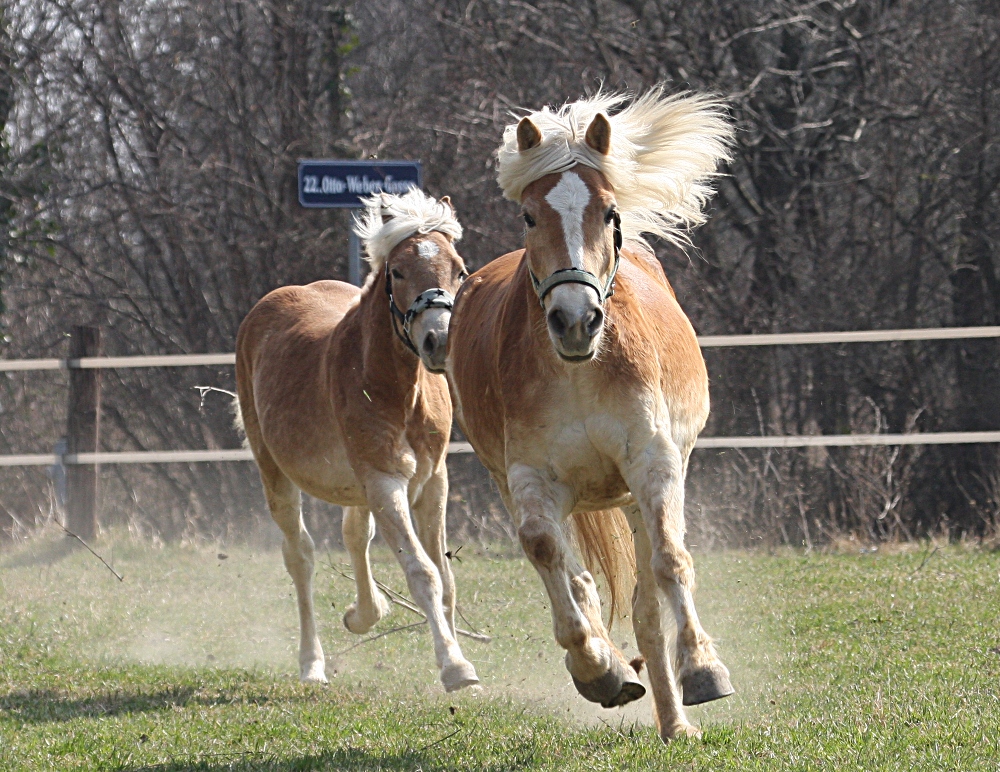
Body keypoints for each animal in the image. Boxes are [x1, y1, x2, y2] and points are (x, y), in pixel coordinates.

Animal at [238, 188, 480, 692]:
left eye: (460, 269)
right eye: (398, 271)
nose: (438, 341)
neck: (396, 389)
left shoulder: (433, 482)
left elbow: (445, 577)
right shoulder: (385, 481)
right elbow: (423, 573)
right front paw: (454, 667)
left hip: (357, 485)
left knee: (354, 535)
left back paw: (363, 614)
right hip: (276, 473)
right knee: (300, 556)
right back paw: (312, 664)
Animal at [450, 87, 740, 740]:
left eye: (609, 213)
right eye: (530, 216)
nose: (575, 320)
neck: (579, 372)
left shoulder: (653, 462)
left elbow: (670, 562)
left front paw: (703, 668)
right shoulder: (530, 477)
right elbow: (549, 557)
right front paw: (598, 669)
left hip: (634, 492)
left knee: (647, 602)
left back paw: (675, 722)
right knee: (578, 576)